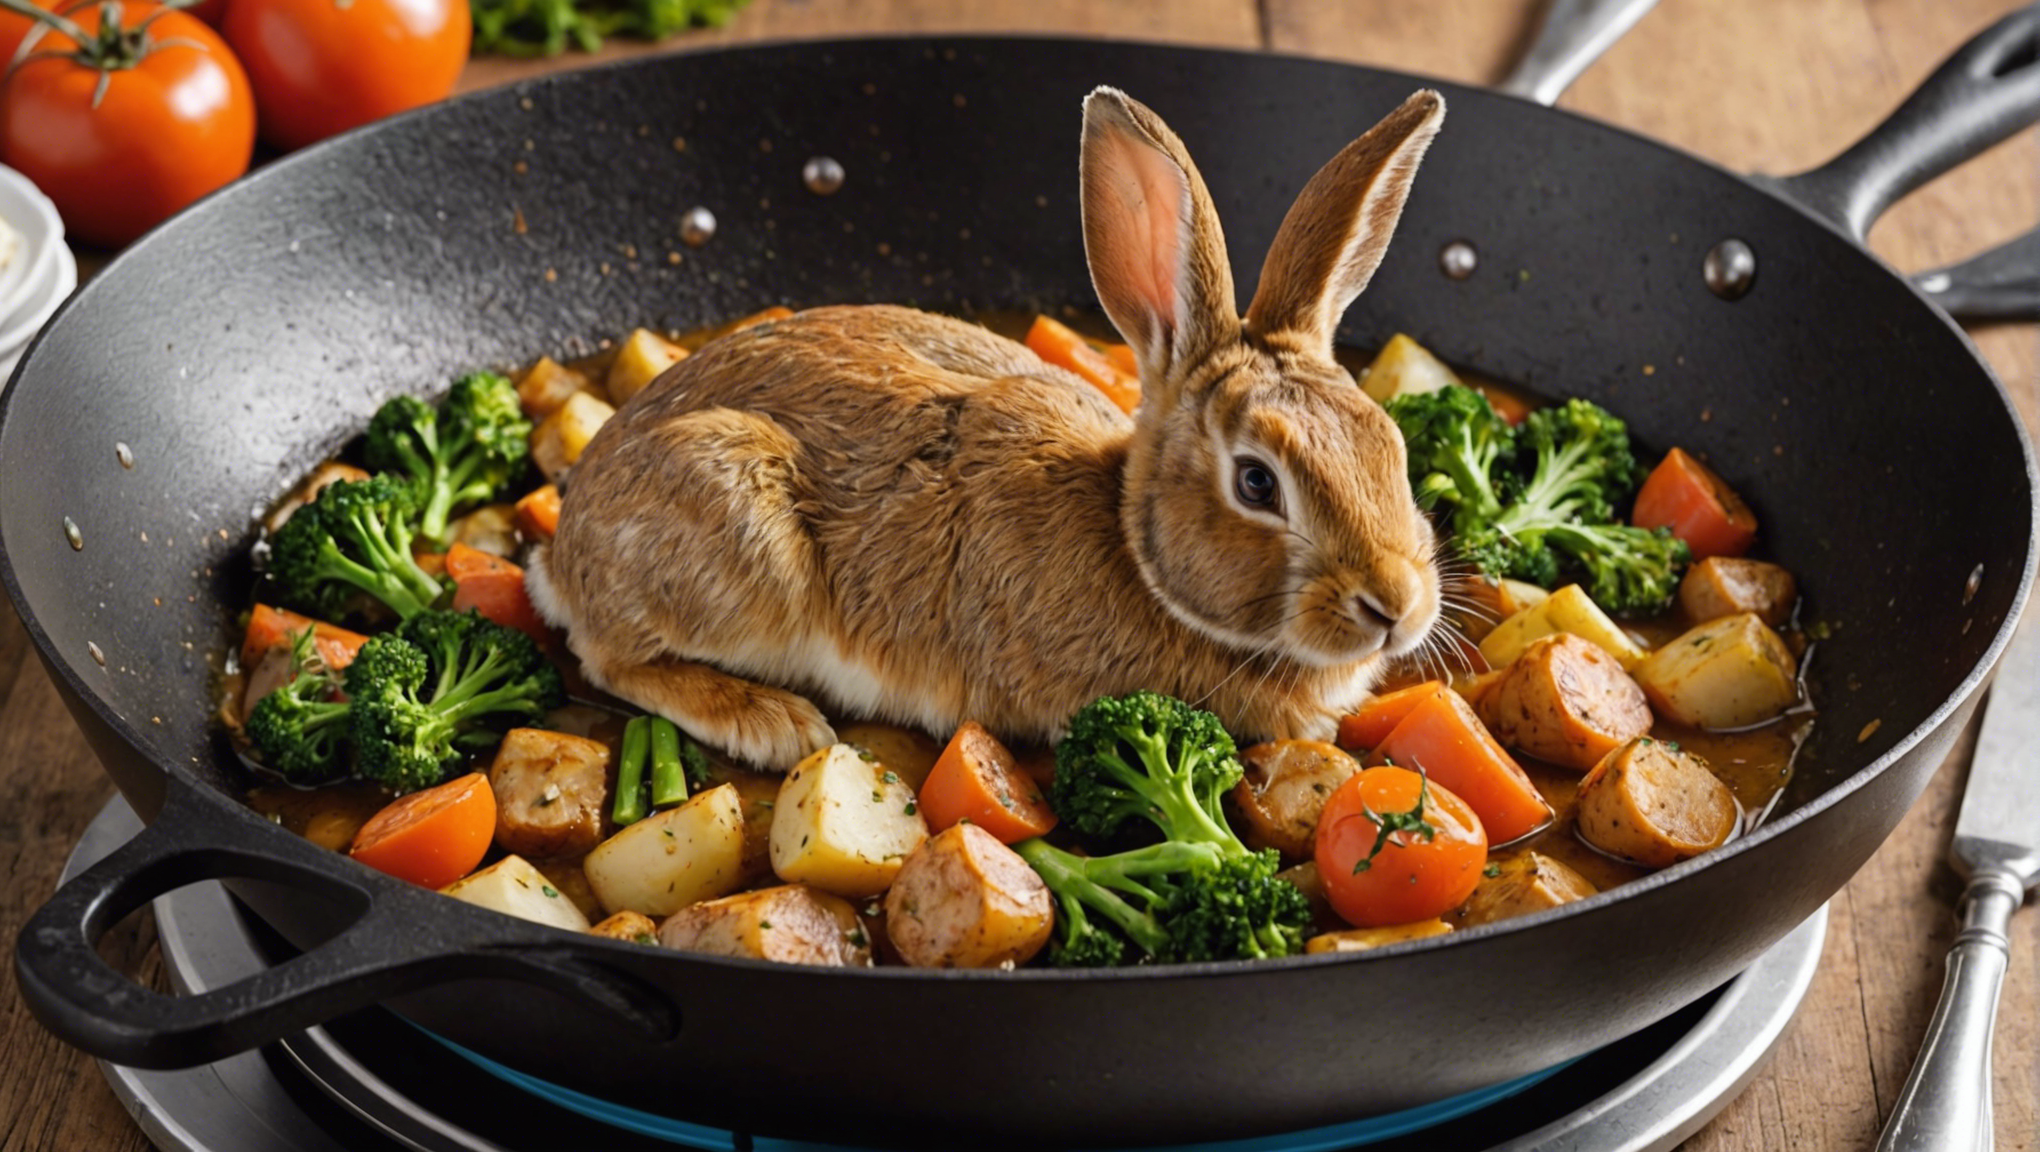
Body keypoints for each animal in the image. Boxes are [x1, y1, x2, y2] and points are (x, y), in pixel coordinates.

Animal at [524, 87, 1449, 770]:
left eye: (1393, 446)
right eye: (1257, 481)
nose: (1394, 608)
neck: (1137, 554)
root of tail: (566, 554)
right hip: (738, 526)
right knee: (613, 657)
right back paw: (770, 720)